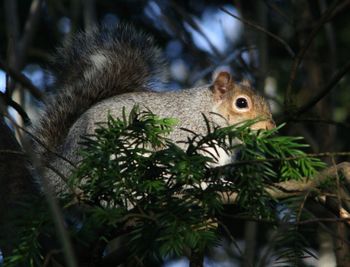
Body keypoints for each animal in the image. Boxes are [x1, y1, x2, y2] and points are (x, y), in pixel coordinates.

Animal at [31, 23, 274, 195]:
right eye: (241, 103)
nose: (271, 128)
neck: (206, 112)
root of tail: (58, 171)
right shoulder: (182, 138)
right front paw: (198, 185)